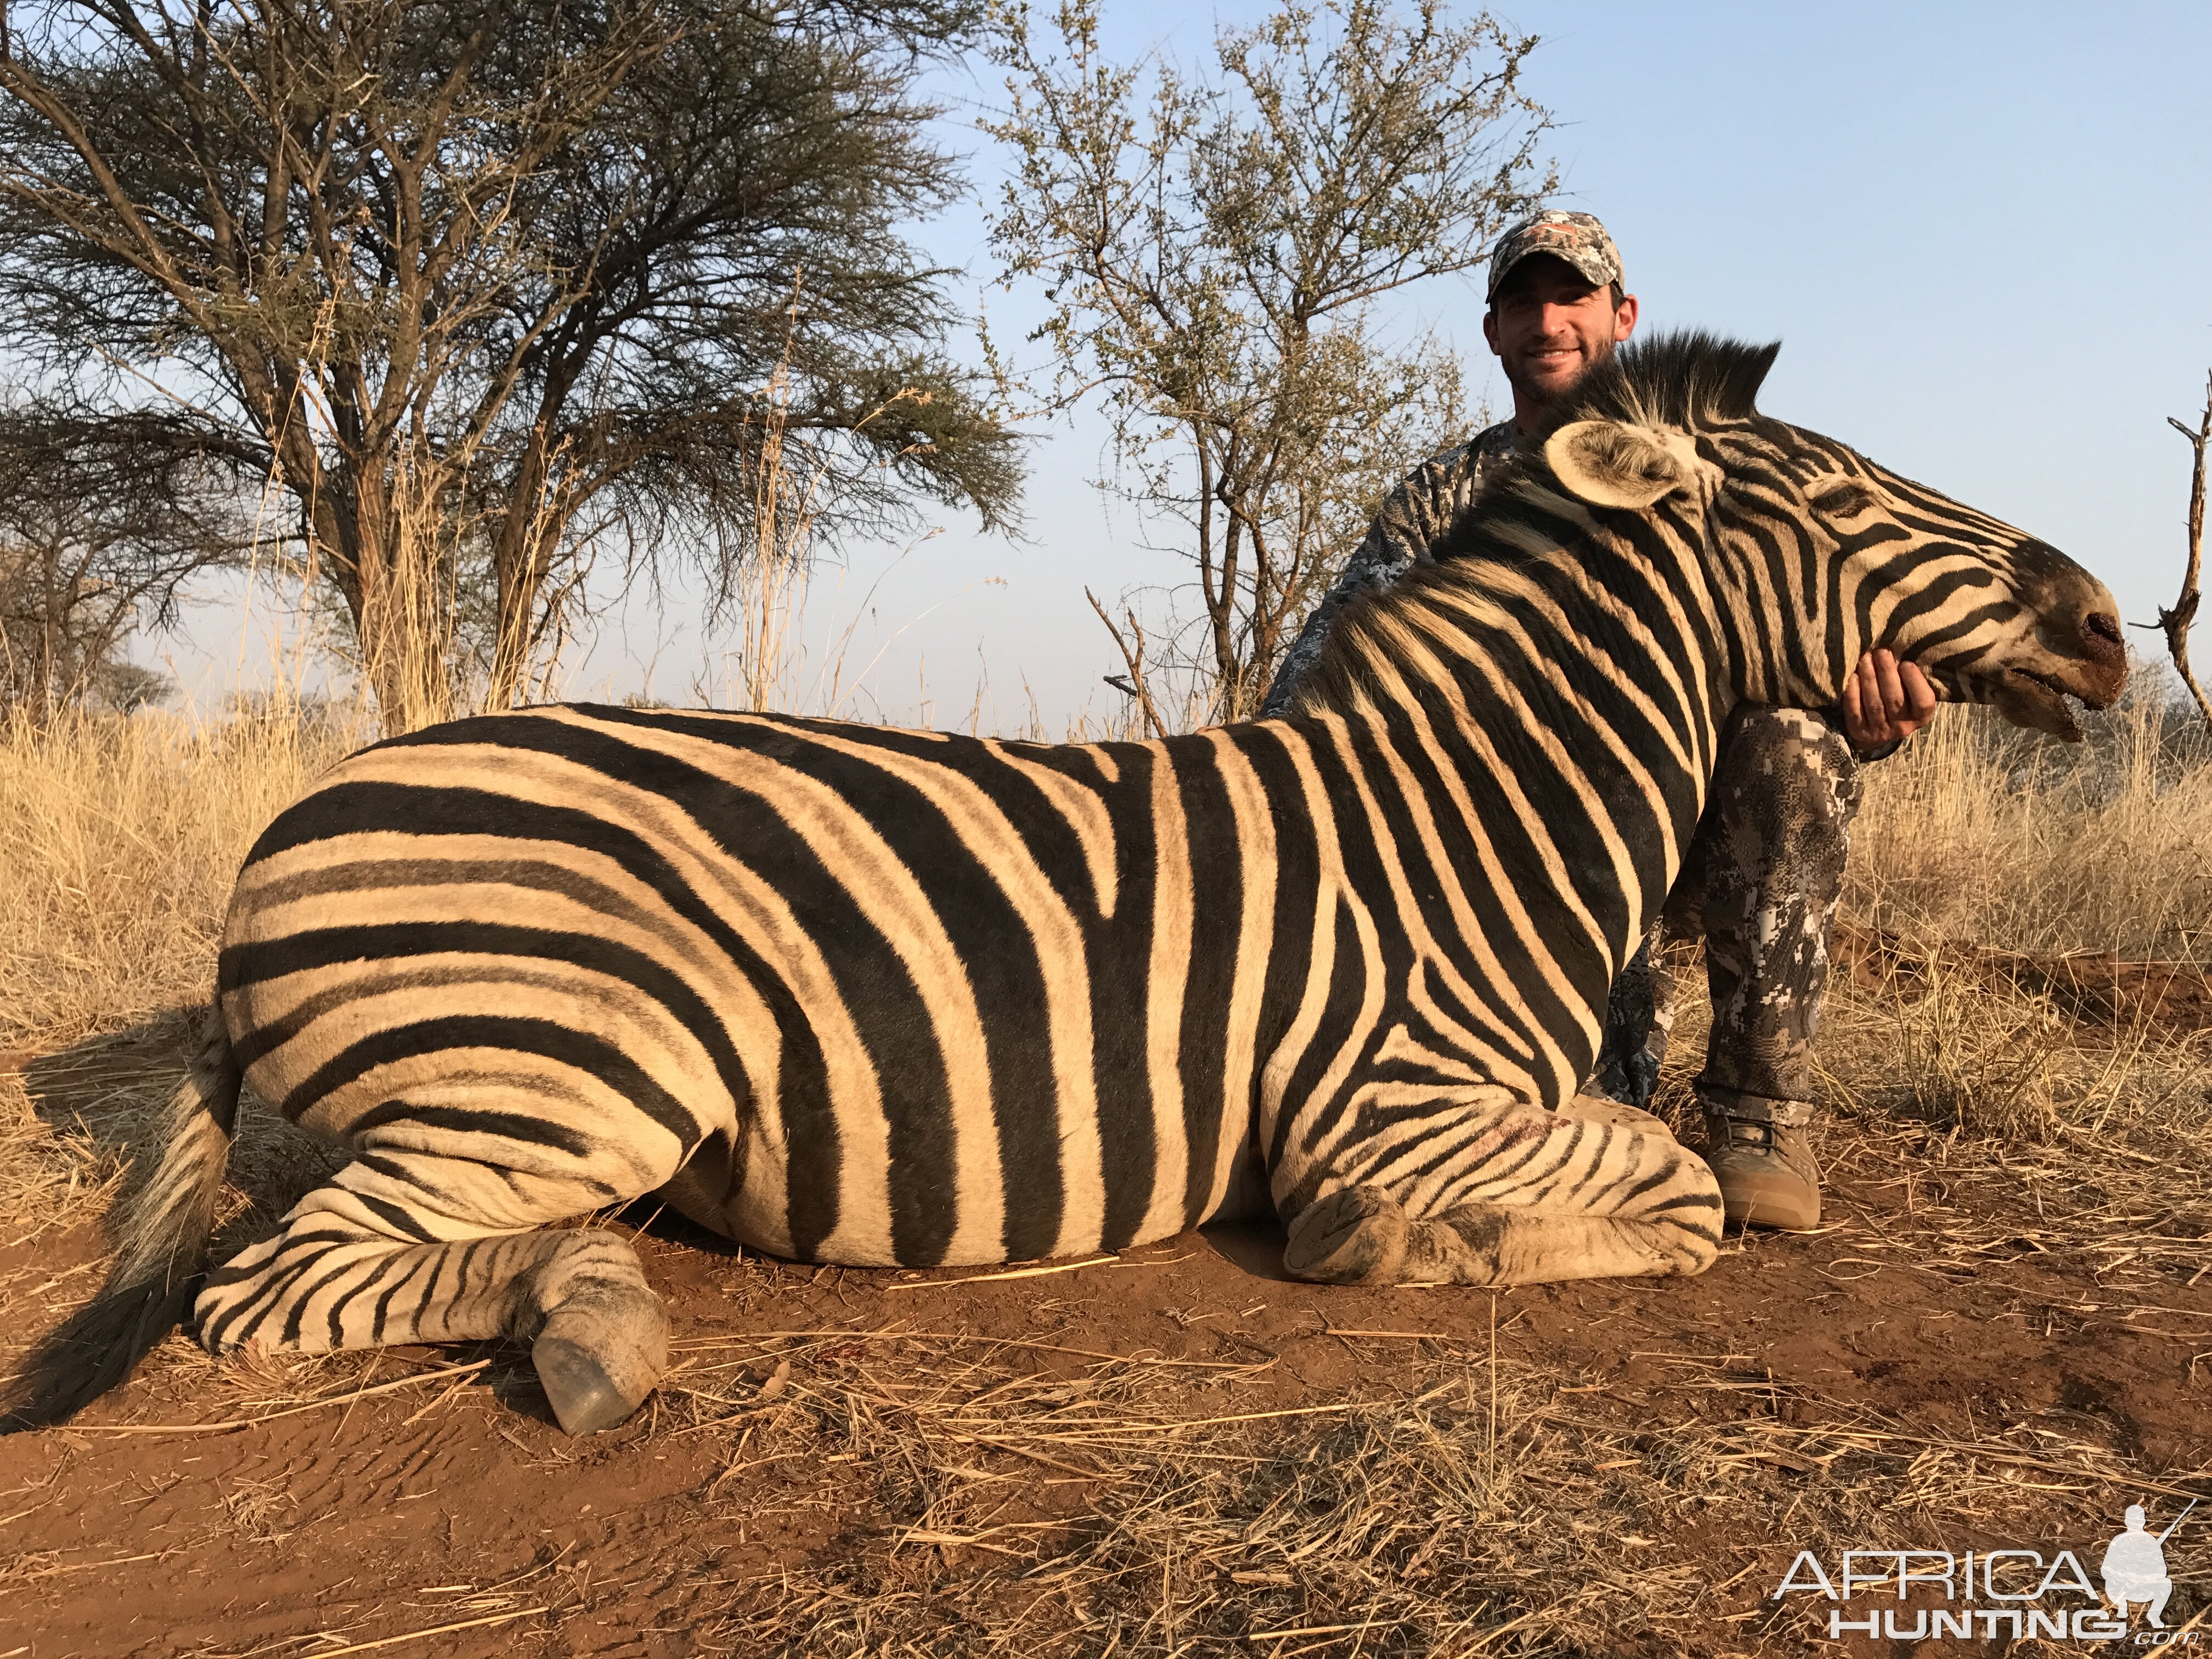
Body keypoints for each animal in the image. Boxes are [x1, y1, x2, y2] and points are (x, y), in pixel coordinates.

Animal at [13, 331, 2123, 1433]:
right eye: (1833, 495)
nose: (2105, 621)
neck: (1473, 819)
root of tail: (283, 833)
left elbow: (1665, 1161)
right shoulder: (1391, 1103)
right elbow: (1664, 1192)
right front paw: (1403, 1251)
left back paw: (593, 1293)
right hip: (584, 1064)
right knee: (264, 1291)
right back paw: (597, 1325)